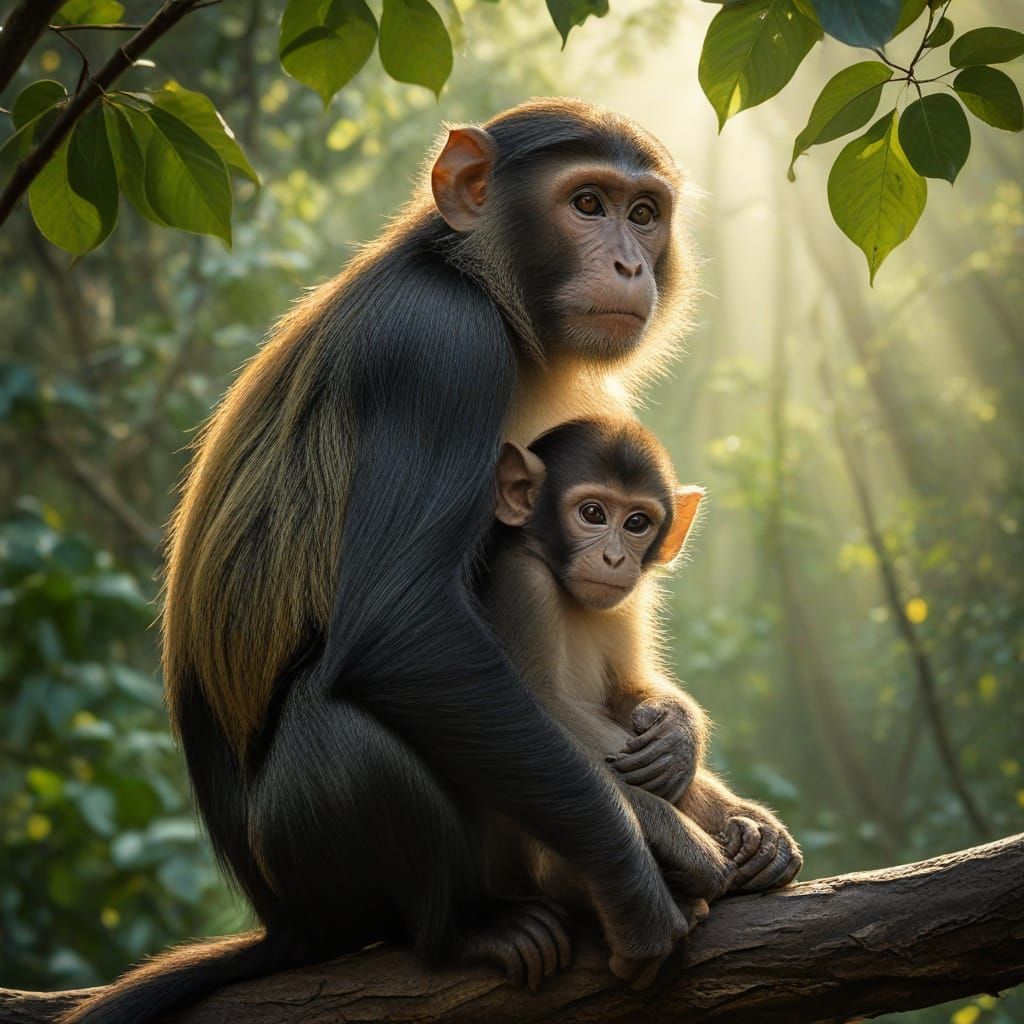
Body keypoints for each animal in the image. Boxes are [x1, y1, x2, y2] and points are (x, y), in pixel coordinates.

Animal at [63, 100, 702, 1024]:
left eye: (644, 213)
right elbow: (404, 630)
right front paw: (640, 869)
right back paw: (458, 931)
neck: (478, 284)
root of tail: (282, 920)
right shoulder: (439, 351)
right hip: (318, 871)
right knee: (336, 722)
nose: (628, 262)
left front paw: (677, 736)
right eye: (588, 203)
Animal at [481, 417, 803, 943]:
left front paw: (679, 734)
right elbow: (525, 710)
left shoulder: (627, 602)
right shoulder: (521, 580)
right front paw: (683, 840)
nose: (614, 558)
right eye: (592, 513)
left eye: (637, 523)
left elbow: (629, 691)